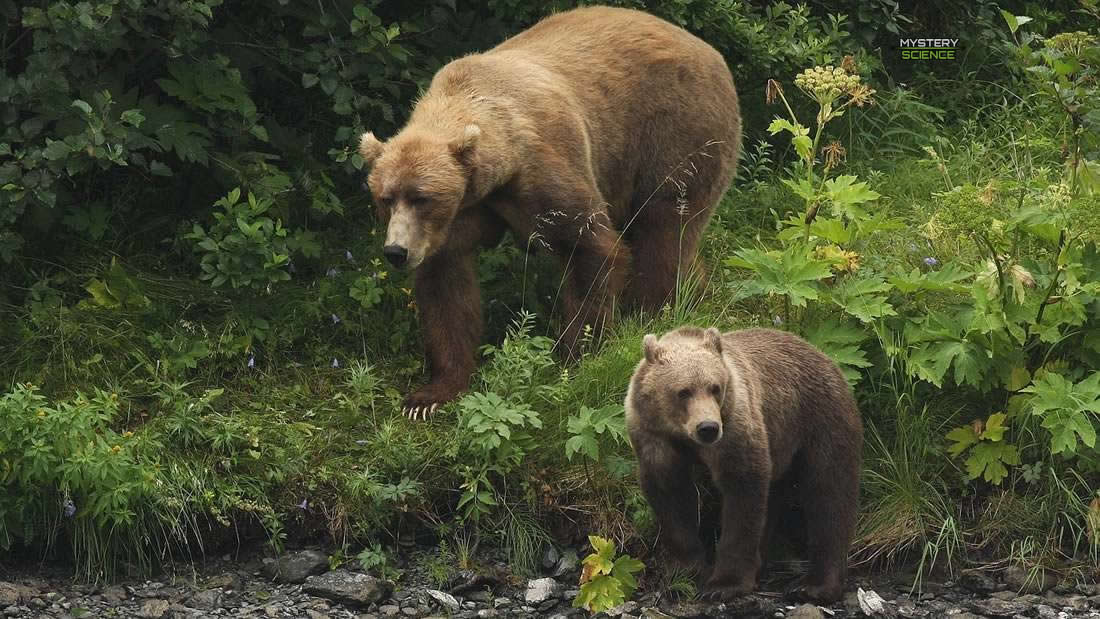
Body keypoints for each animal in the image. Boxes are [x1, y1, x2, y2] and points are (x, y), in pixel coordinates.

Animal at [356, 4, 743, 419]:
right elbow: (447, 289)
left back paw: (657, 312)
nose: (396, 251)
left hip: (675, 132)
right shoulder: (459, 216)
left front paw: (574, 357)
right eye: (385, 197)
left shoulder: (544, 168)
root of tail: (710, 51)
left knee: (664, 225)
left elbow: (590, 248)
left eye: (422, 197)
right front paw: (431, 394)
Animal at [624, 327, 862, 602]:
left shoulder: (735, 426)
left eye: (715, 388)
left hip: (820, 419)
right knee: (777, 496)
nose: (708, 427)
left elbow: (742, 491)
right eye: (683, 391)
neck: (682, 435)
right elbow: (670, 493)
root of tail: (823, 355)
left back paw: (814, 585)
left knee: (829, 492)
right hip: (781, 441)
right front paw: (686, 568)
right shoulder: (652, 434)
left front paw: (724, 584)